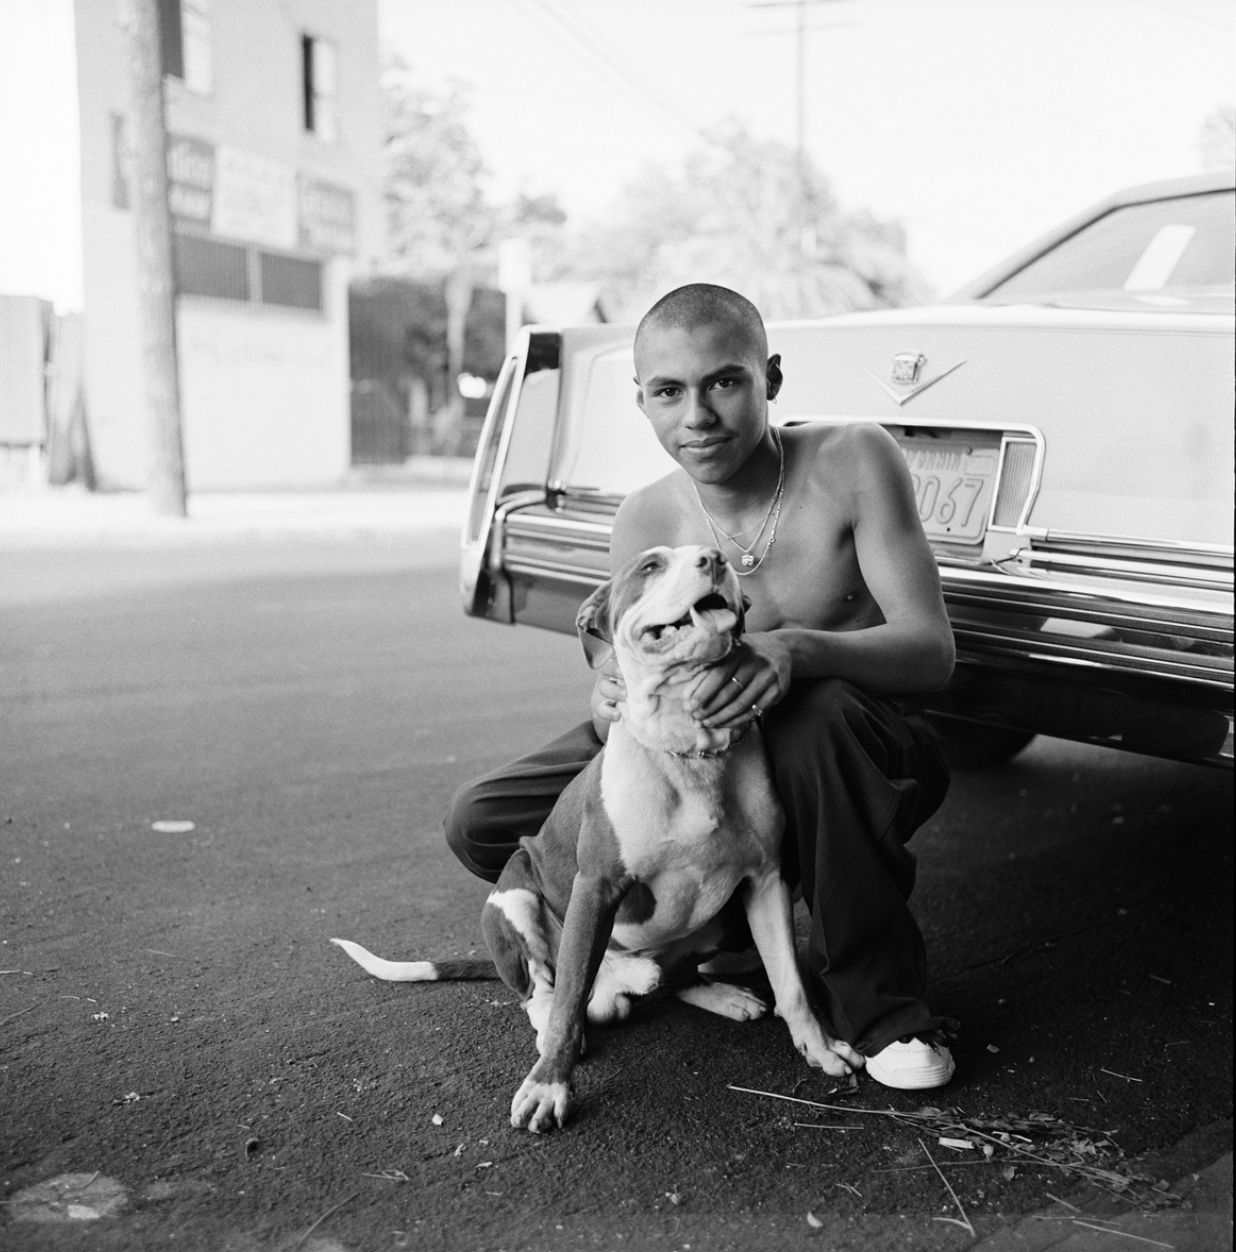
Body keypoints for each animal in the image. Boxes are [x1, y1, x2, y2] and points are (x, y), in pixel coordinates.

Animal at [333, 543, 866, 1131]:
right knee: (544, 988)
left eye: (714, 555)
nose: (714, 557)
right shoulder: (595, 888)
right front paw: (549, 1085)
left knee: (675, 975)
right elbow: (568, 1002)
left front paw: (819, 1046)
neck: (687, 744)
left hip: (726, 918)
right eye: (651, 566)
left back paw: (715, 993)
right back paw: (569, 1011)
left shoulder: (766, 878)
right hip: (513, 895)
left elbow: (791, 982)